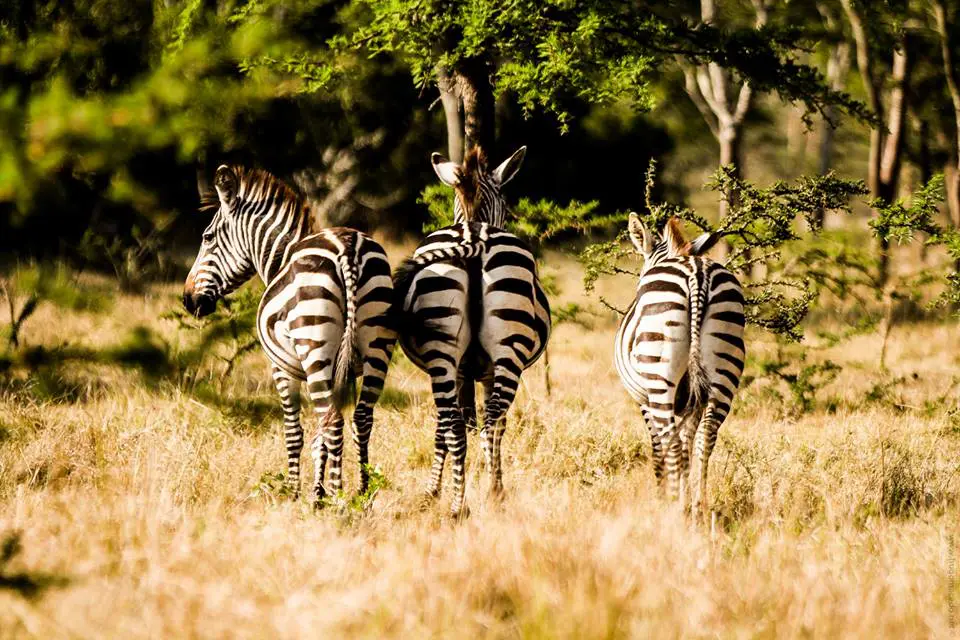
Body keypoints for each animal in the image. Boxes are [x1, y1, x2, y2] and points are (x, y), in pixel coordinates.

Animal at [182, 165, 396, 505]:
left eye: (207, 237)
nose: (188, 300)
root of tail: (348, 248)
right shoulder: (339, 372)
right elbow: (320, 437)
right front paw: (317, 492)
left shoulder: (281, 368)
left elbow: (295, 432)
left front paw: (297, 493)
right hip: (379, 344)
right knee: (361, 418)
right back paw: (363, 494)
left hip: (313, 344)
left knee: (332, 421)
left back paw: (339, 498)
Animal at [392, 146, 551, 518]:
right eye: (506, 203)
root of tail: (474, 238)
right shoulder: (480, 371)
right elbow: (479, 422)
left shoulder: (465, 371)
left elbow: (452, 425)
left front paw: (433, 491)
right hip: (504, 352)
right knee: (490, 421)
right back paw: (485, 495)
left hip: (448, 350)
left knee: (462, 423)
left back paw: (462, 503)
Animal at [614, 213, 745, 521]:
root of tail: (698, 274)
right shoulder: (692, 403)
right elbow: (688, 443)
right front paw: (685, 496)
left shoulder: (643, 400)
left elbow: (657, 448)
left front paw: (664, 496)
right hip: (725, 368)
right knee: (705, 438)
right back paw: (699, 507)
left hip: (659, 375)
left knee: (671, 442)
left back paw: (673, 510)